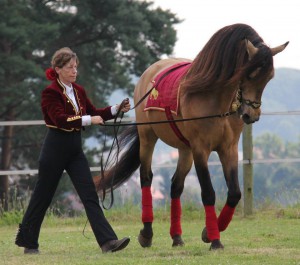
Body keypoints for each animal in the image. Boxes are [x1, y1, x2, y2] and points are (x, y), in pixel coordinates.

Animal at [95, 23, 290, 250]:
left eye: (269, 77)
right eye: (249, 74)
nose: (252, 115)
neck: (216, 98)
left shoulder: (229, 149)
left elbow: (234, 193)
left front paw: (209, 232)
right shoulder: (200, 150)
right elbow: (208, 193)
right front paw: (214, 239)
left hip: (184, 149)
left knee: (176, 186)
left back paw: (177, 237)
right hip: (148, 137)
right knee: (146, 177)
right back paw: (147, 233)